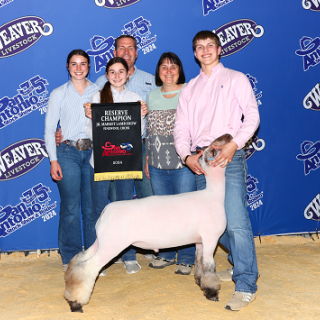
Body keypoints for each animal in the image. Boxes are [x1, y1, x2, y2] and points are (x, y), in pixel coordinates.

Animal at [64, 132, 232, 312]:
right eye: (213, 149)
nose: (228, 136)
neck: (213, 194)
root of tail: (106, 210)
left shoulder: (200, 242)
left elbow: (199, 264)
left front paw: (200, 283)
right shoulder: (210, 238)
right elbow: (209, 266)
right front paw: (212, 294)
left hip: (102, 242)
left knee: (79, 262)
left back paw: (71, 296)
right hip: (111, 245)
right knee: (88, 267)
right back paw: (76, 303)